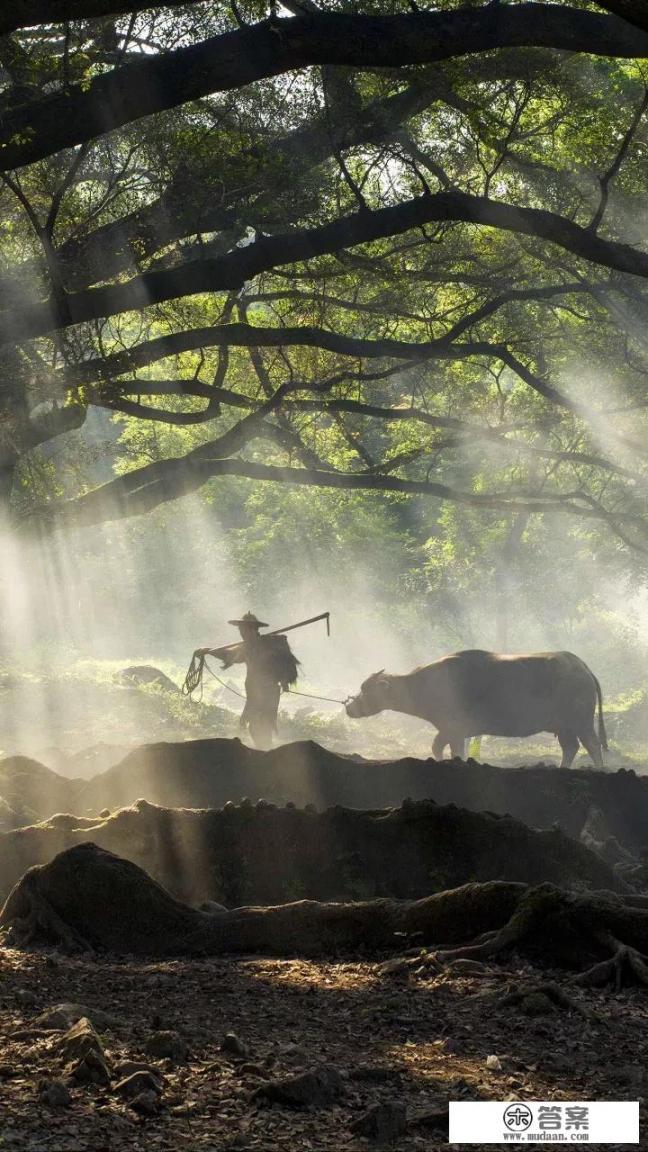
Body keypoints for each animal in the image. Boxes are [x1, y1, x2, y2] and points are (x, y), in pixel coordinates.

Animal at [345, 649, 604, 764]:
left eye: (366, 689)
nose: (349, 707)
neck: (426, 684)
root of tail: (582, 666)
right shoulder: (450, 731)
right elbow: (440, 747)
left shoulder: (454, 729)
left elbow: (447, 748)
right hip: (564, 727)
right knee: (570, 747)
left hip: (581, 721)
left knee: (592, 745)